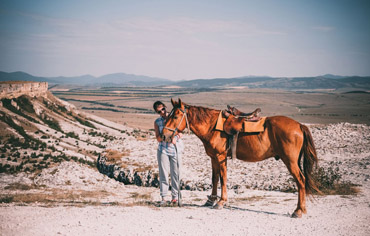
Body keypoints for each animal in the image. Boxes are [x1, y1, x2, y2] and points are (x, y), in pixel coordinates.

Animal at [163, 97, 320, 218]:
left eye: (175, 116)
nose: (164, 135)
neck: (212, 126)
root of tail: (299, 126)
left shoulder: (221, 157)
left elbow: (223, 178)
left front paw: (221, 202)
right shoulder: (213, 158)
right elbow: (214, 179)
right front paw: (211, 200)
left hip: (290, 161)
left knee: (301, 180)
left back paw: (298, 211)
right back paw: (301, 209)